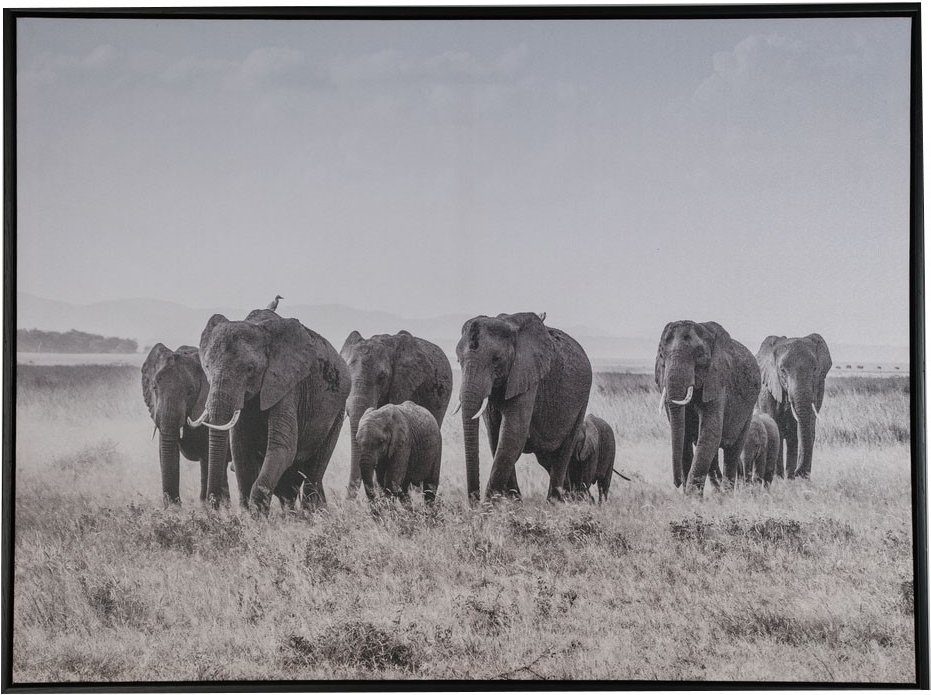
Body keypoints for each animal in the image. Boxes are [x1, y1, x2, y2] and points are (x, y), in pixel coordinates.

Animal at [191, 309, 350, 513]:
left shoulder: (287, 385)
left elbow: (282, 448)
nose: (213, 504)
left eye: (250, 369)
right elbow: (240, 450)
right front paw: (247, 514)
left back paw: (312, 514)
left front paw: (257, 514)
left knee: (313, 473)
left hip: (337, 412)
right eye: (207, 367)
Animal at [456, 312, 592, 502]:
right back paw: (569, 498)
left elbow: (513, 434)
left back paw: (555, 502)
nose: (474, 503)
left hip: (582, 402)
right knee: (547, 458)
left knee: (563, 453)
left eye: (496, 359)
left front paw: (490, 506)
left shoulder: (527, 376)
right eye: (458, 360)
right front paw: (512, 502)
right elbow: (496, 436)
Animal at [654, 320, 761, 495]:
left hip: (749, 410)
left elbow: (710, 432)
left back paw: (727, 494)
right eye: (662, 356)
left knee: (733, 451)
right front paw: (689, 495)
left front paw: (692, 497)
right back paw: (719, 491)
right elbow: (686, 435)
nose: (676, 483)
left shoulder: (717, 381)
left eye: (699, 358)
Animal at [756, 334, 832, 479]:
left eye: (815, 369)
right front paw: (778, 477)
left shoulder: (819, 386)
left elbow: (808, 425)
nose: (799, 473)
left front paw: (795, 478)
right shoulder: (767, 390)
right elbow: (775, 426)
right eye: (782, 370)